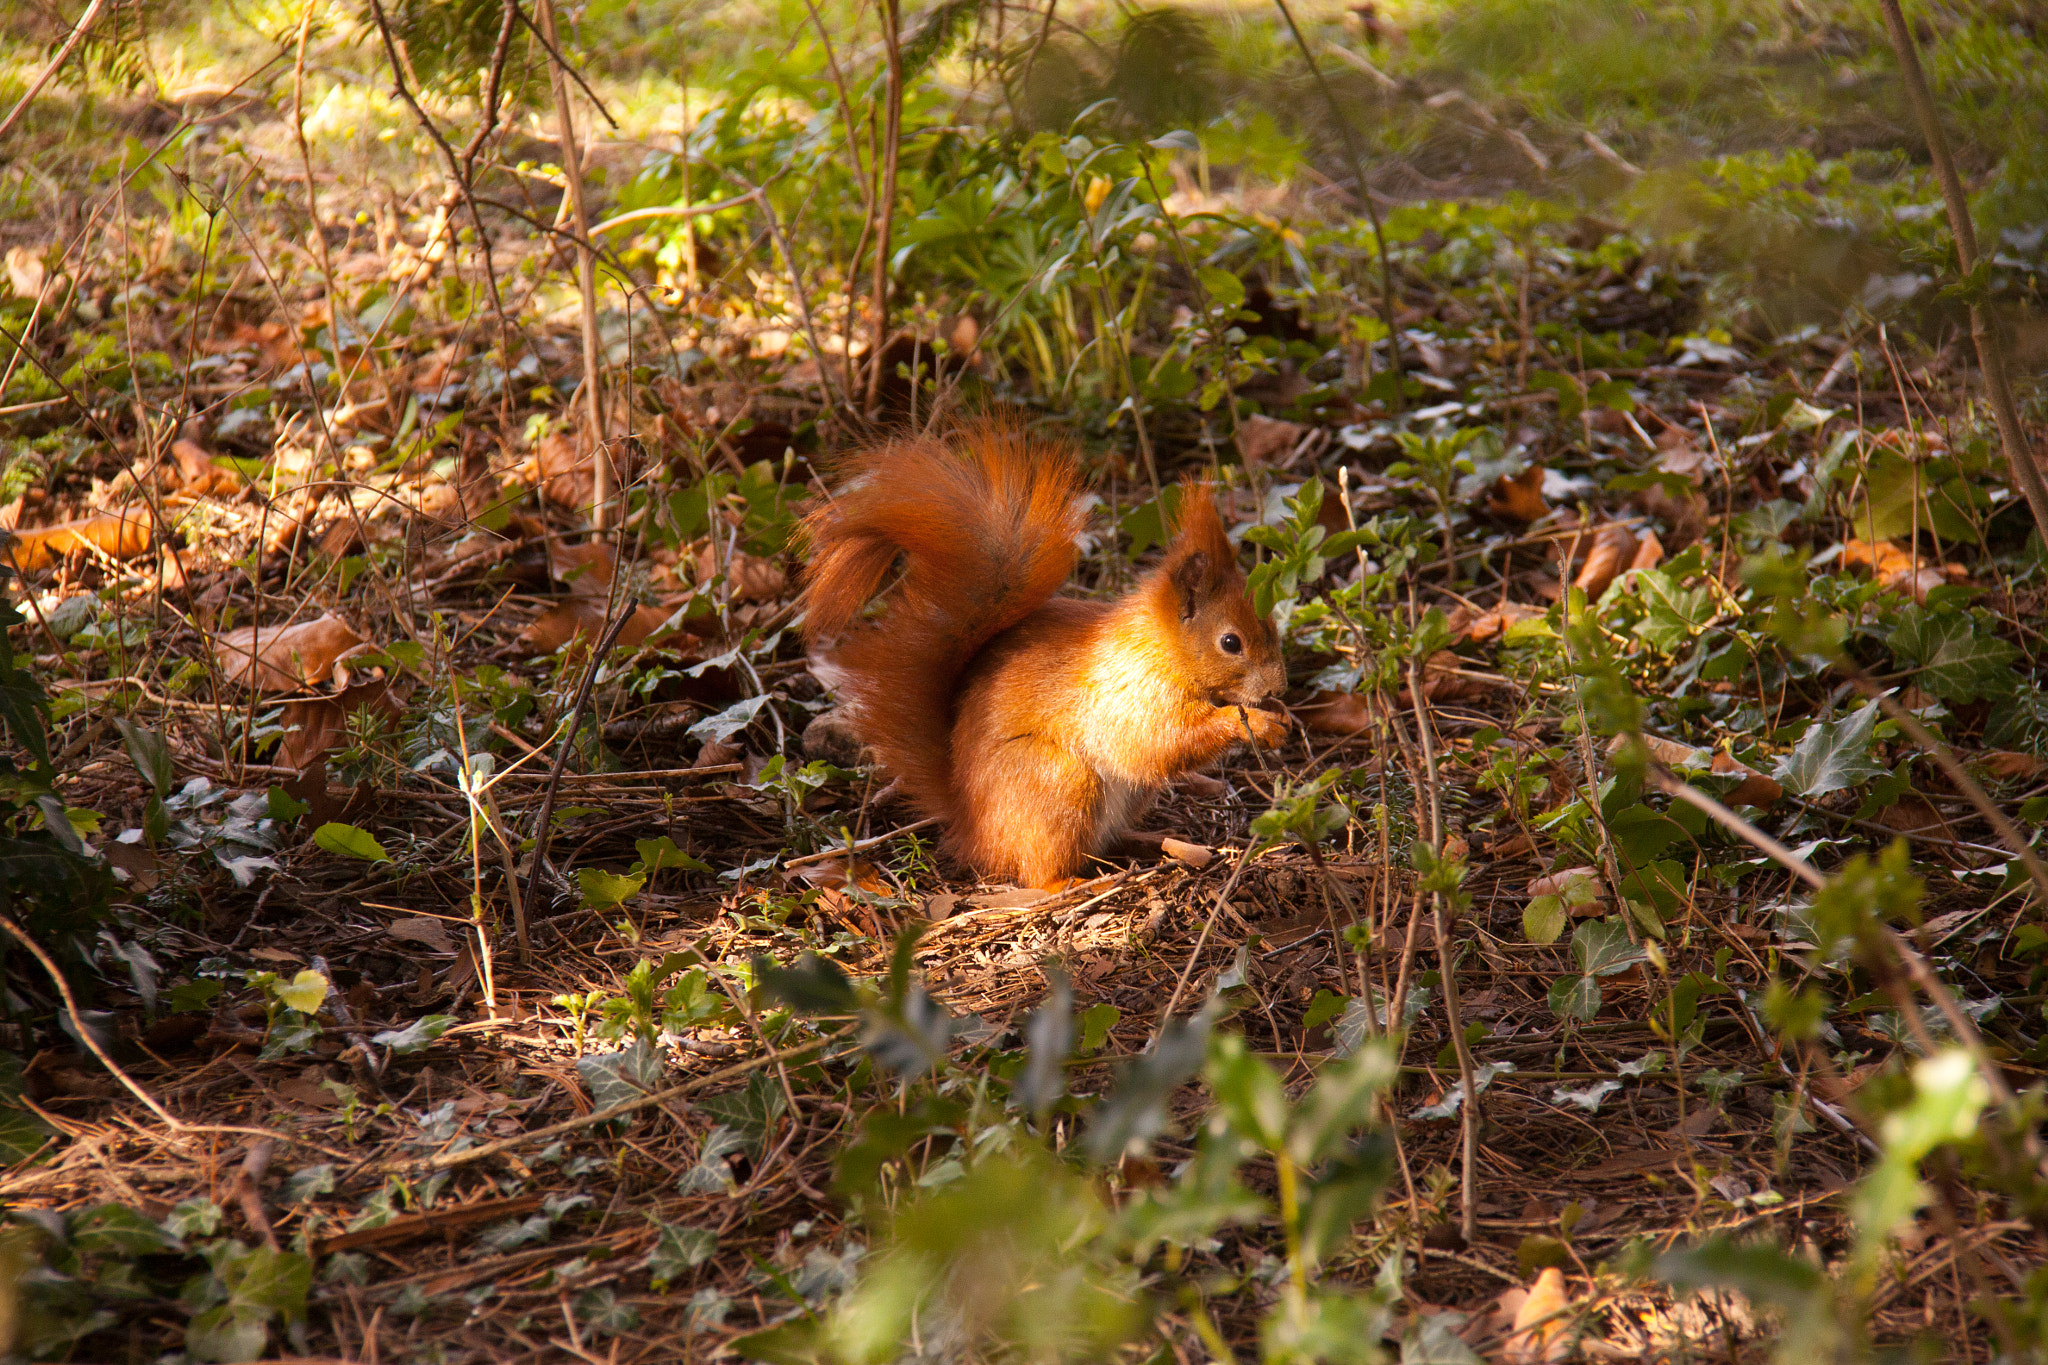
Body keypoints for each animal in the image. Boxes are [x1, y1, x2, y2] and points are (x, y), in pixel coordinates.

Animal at [799, 425, 1287, 888]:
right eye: (1231, 642)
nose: (1280, 686)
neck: (1162, 646)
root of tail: (972, 826)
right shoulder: (1130, 695)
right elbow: (1156, 743)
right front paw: (1256, 722)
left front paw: (1277, 715)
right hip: (1059, 784)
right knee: (1039, 869)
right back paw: (1072, 882)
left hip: (1126, 797)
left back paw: (1151, 842)